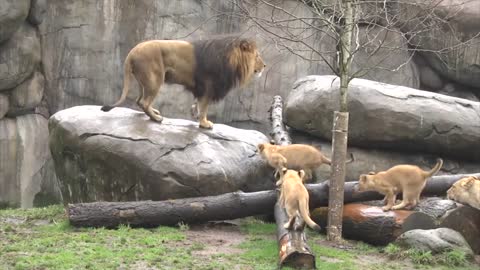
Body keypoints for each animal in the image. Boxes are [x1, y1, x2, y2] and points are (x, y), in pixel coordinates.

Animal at [101, 35, 266, 129]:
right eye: (257, 56)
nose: (265, 66)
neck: (230, 59)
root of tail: (132, 52)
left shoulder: (201, 88)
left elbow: (198, 103)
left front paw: (194, 113)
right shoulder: (209, 85)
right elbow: (204, 107)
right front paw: (204, 123)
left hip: (145, 81)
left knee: (139, 100)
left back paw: (154, 113)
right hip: (155, 79)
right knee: (144, 102)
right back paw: (156, 118)